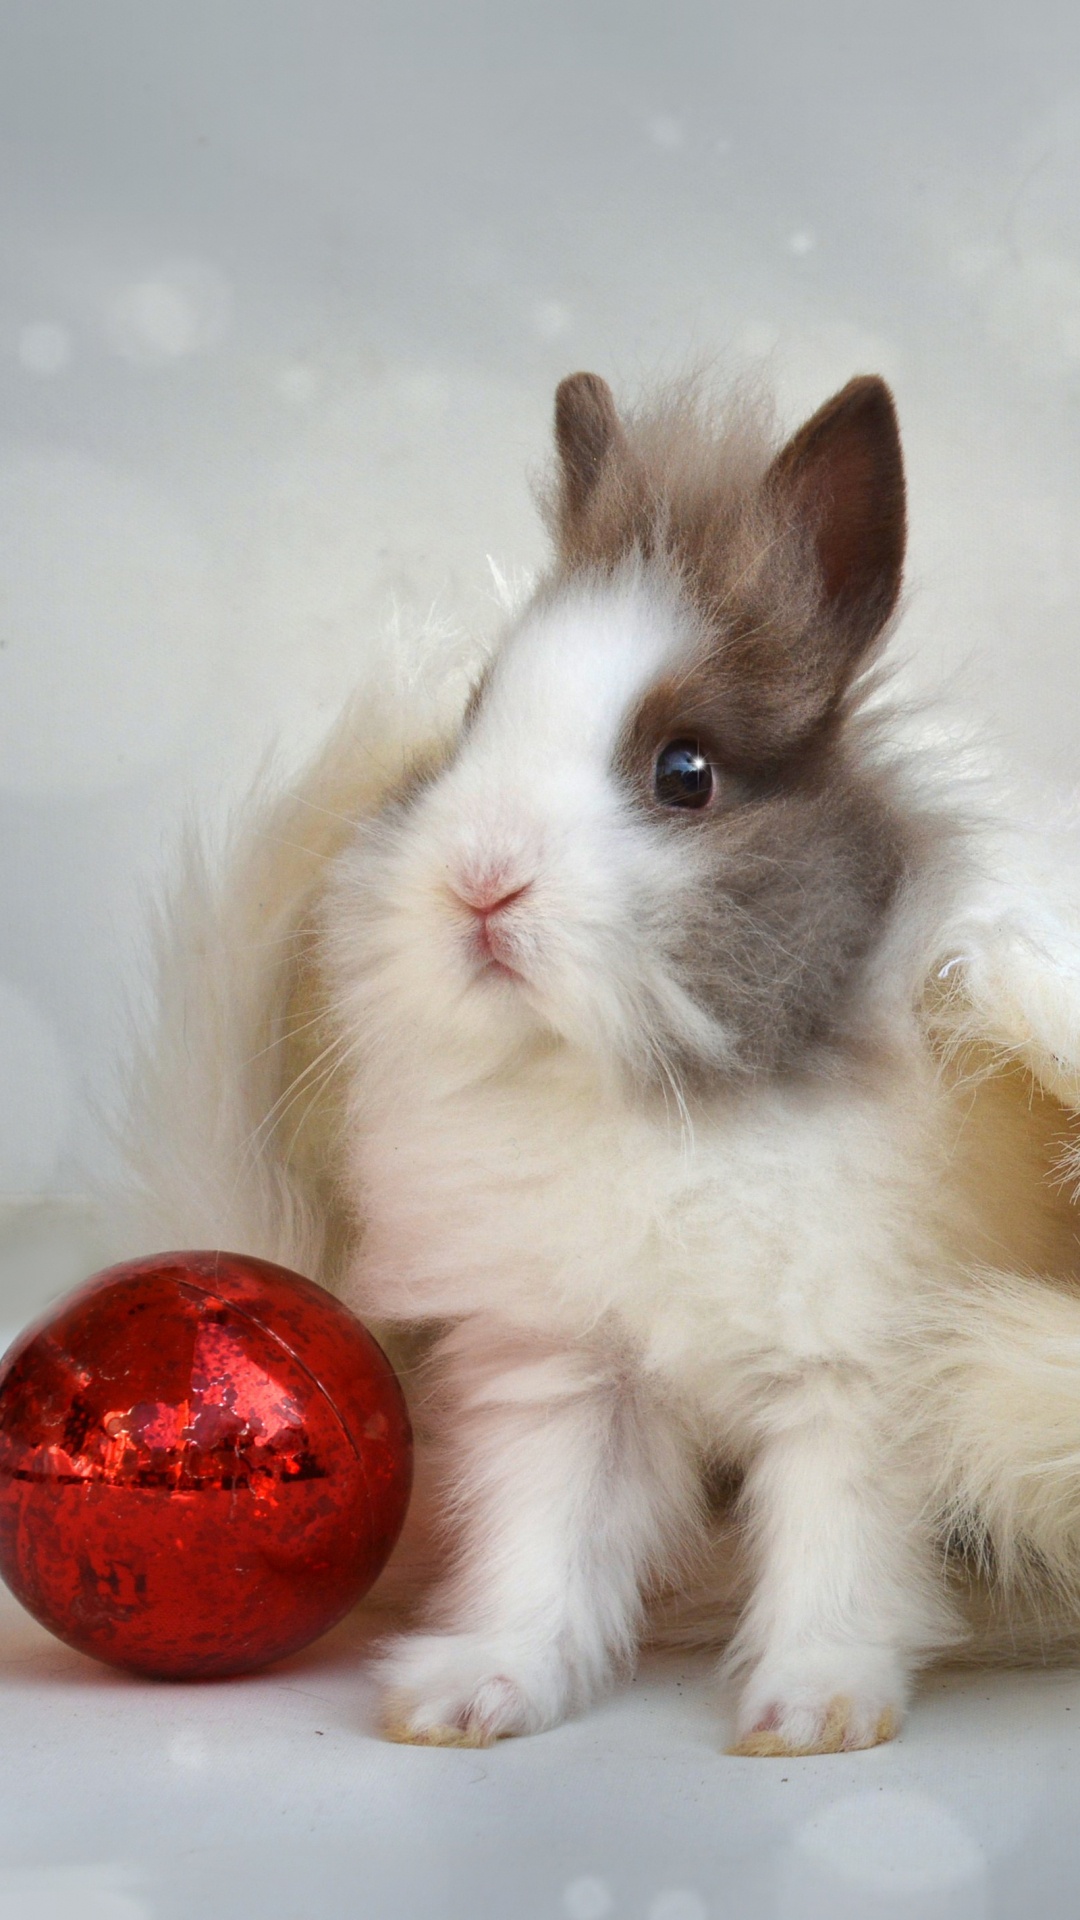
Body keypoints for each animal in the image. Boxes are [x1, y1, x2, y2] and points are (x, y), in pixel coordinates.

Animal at [123, 367, 1080, 1757]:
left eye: (686, 772)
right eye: (470, 723)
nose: (478, 882)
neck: (648, 1098)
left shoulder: (858, 1374)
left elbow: (839, 1551)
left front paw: (812, 1711)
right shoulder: (571, 1372)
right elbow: (547, 1544)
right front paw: (474, 1693)